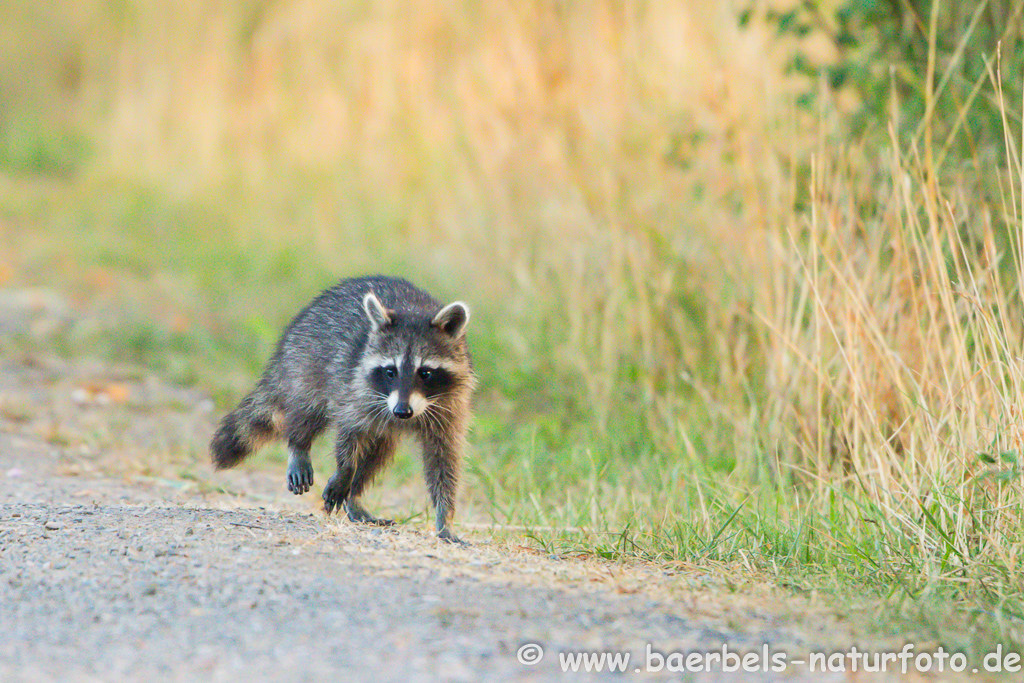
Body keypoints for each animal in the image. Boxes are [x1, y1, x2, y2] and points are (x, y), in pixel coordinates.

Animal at [214, 274, 477, 540]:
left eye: (425, 373)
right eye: (390, 371)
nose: (402, 412)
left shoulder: (450, 408)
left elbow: (445, 461)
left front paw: (445, 517)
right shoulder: (355, 389)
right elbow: (349, 431)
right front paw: (345, 470)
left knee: (377, 454)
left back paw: (355, 494)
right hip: (306, 362)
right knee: (307, 410)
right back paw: (300, 445)